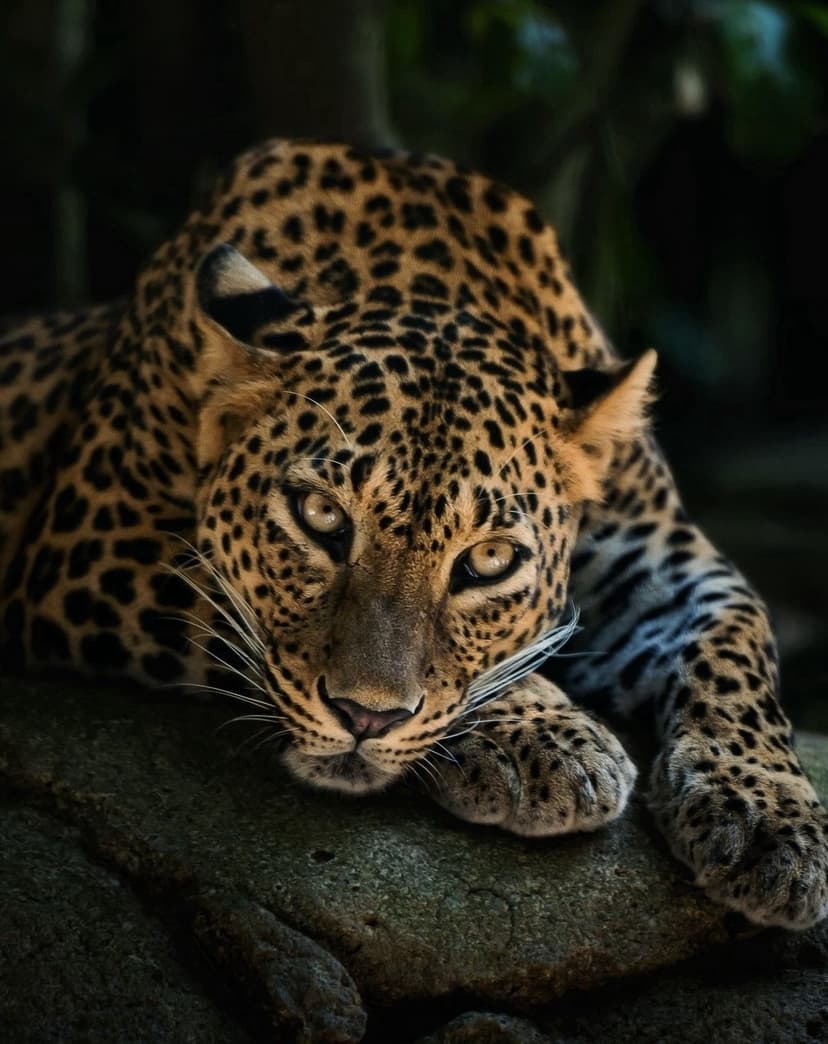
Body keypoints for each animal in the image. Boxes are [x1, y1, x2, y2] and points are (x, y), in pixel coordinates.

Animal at [0, 139, 825, 931]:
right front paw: (548, 736)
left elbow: (737, 637)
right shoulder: (91, 542)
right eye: (321, 518)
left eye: (488, 561)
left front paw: (771, 823)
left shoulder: (654, 553)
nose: (366, 718)